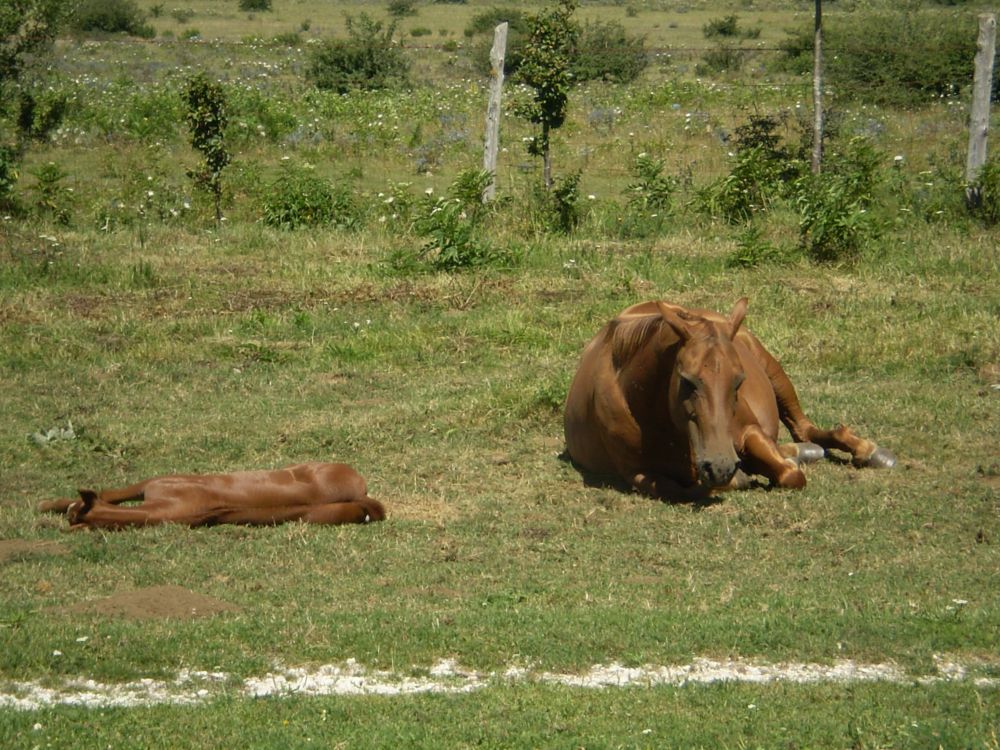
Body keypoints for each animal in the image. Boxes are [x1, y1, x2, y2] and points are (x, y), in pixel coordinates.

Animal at [564, 296, 900, 502]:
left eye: (739, 380)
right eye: (686, 380)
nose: (720, 465)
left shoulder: (747, 430)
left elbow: (790, 474)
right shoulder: (637, 473)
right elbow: (686, 488)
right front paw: (737, 477)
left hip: (774, 372)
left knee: (803, 428)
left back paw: (867, 451)